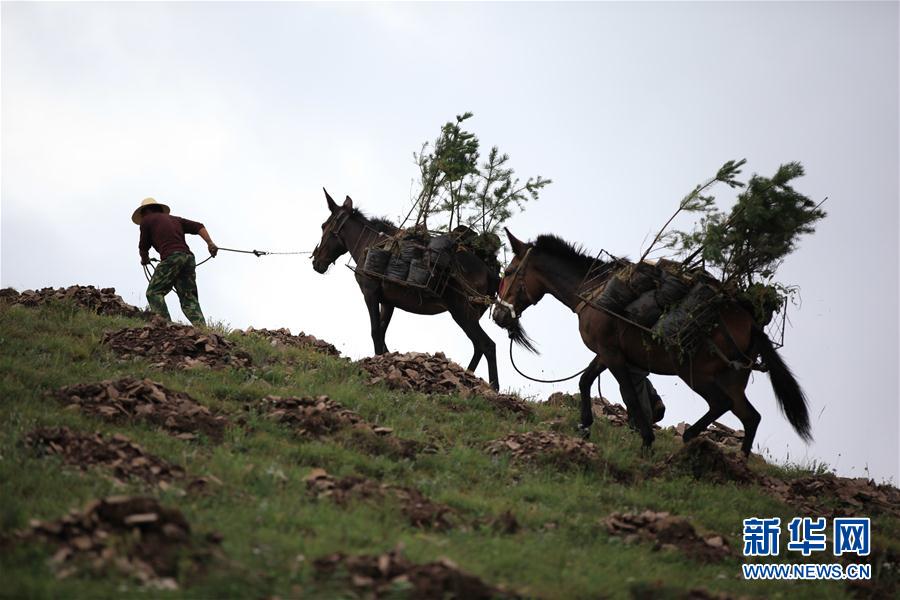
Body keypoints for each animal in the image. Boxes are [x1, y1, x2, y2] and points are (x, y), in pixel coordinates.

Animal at [312, 190, 502, 392]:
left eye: (324, 225)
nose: (317, 262)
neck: (368, 242)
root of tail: (491, 272)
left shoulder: (370, 294)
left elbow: (375, 331)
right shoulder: (388, 302)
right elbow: (382, 332)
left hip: (461, 312)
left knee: (488, 345)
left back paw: (493, 387)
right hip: (471, 315)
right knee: (478, 346)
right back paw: (468, 375)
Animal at [492, 230, 808, 454]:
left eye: (508, 272)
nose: (498, 315)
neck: (592, 291)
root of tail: (752, 323)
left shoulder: (612, 355)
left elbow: (629, 394)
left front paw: (646, 441)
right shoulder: (606, 353)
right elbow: (585, 381)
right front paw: (584, 425)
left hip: (697, 374)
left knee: (723, 405)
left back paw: (693, 439)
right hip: (731, 379)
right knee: (749, 416)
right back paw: (734, 462)